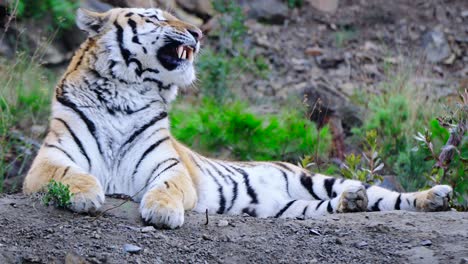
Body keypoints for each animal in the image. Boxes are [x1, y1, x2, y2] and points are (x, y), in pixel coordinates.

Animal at [22, 7, 454, 228]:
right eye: (156, 18)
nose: (197, 32)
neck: (126, 94)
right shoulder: (50, 160)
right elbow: (72, 174)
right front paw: (86, 195)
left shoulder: (169, 166)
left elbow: (168, 186)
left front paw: (162, 210)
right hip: (283, 208)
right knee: (341, 206)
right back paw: (352, 203)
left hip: (316, 178)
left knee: (389, 197)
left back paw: (434, 197)